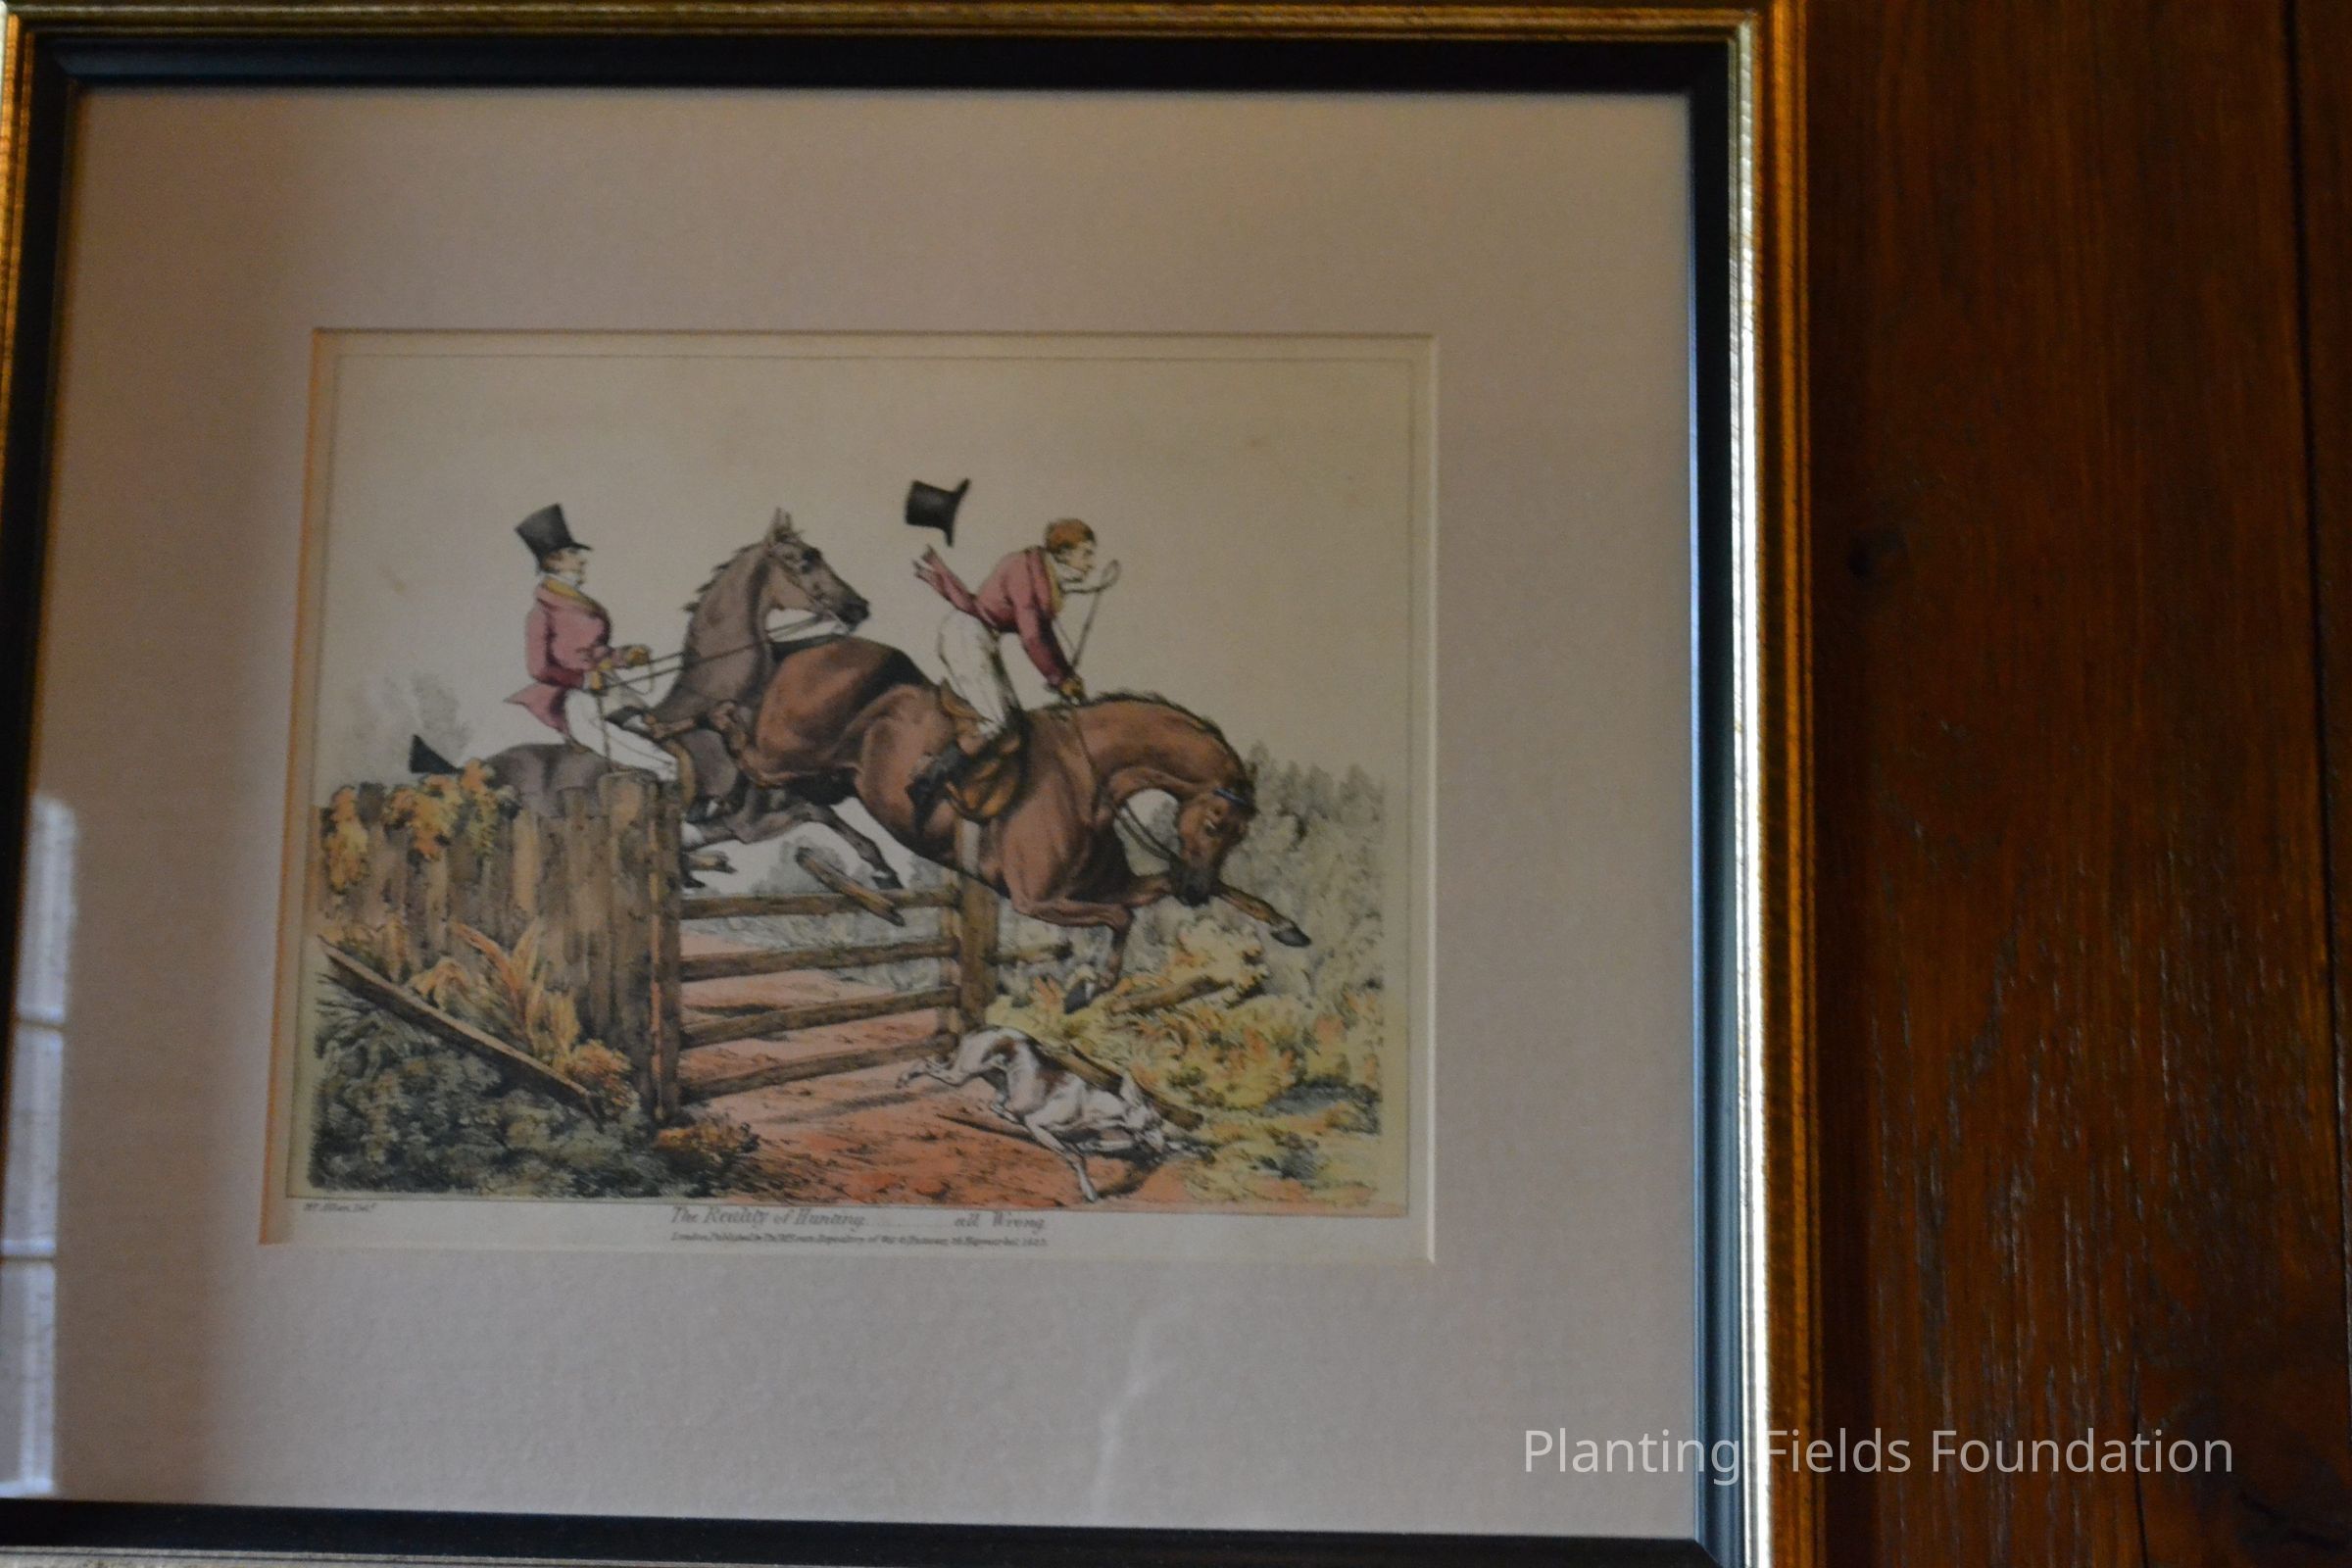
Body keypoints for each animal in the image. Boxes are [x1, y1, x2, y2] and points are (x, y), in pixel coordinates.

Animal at [706, 638, 1310, 998]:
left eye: (1240, 834)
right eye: (1213, 825)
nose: (1195, 893)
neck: (1088, 778)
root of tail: (813, 646)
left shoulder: (1105, 886)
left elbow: (1153, 899)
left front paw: (1287, 926)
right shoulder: (1037, 900)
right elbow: (1121, 919)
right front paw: (1091, 987)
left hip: (823, 775)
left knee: (796, 799)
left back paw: (870, 873)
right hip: (786, 754)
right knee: (735, 732)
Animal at [900, 1026, 1182, 1203]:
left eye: (1160, 1123)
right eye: (1151, 1123)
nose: (1164, 1144)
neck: (1092, 1104)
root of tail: (982, 1029)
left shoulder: (1089, 1140)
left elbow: (1101, 1146)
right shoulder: (1039, 1126)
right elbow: (1076, 1157)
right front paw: (1090, 1192)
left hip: (998, 1082)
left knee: (996, 1105)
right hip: (961, 1074)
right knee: (924, 1063)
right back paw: (903, 1078)